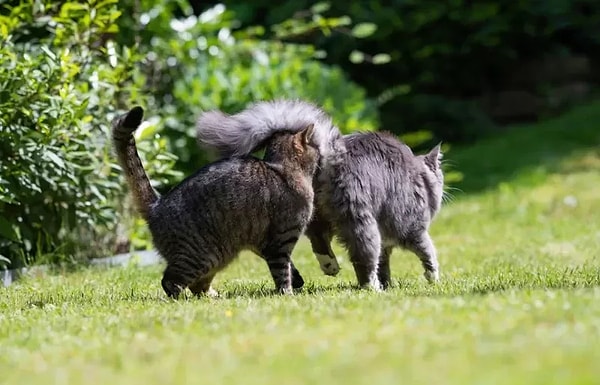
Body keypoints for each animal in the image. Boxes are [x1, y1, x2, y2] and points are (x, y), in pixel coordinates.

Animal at [112, 103, 318, 296]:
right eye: (314, 146)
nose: (319, 150)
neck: (282, 169)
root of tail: (157, 205)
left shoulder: (262, 243)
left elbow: (289, 266)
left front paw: (296, 281)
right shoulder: (280, 241)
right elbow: (282, 272)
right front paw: (287, 293)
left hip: (219, 257)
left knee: (197, 285)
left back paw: (213, 296)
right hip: (202, 257)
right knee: (170, 281)